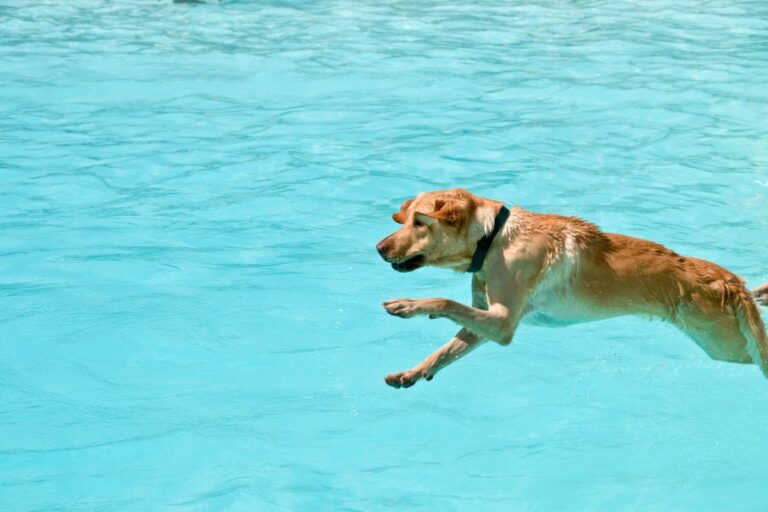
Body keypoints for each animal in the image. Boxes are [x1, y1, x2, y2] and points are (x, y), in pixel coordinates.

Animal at [376, 188, 768, 388]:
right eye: (406, 220)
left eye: (419, 223)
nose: (379, 248)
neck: (494, 237)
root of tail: (730, 281)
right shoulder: (485, 321)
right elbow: (447, 349)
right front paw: (414, 372)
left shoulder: (502, 323)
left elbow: (444, 301)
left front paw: (410, 305)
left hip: (724, 343)